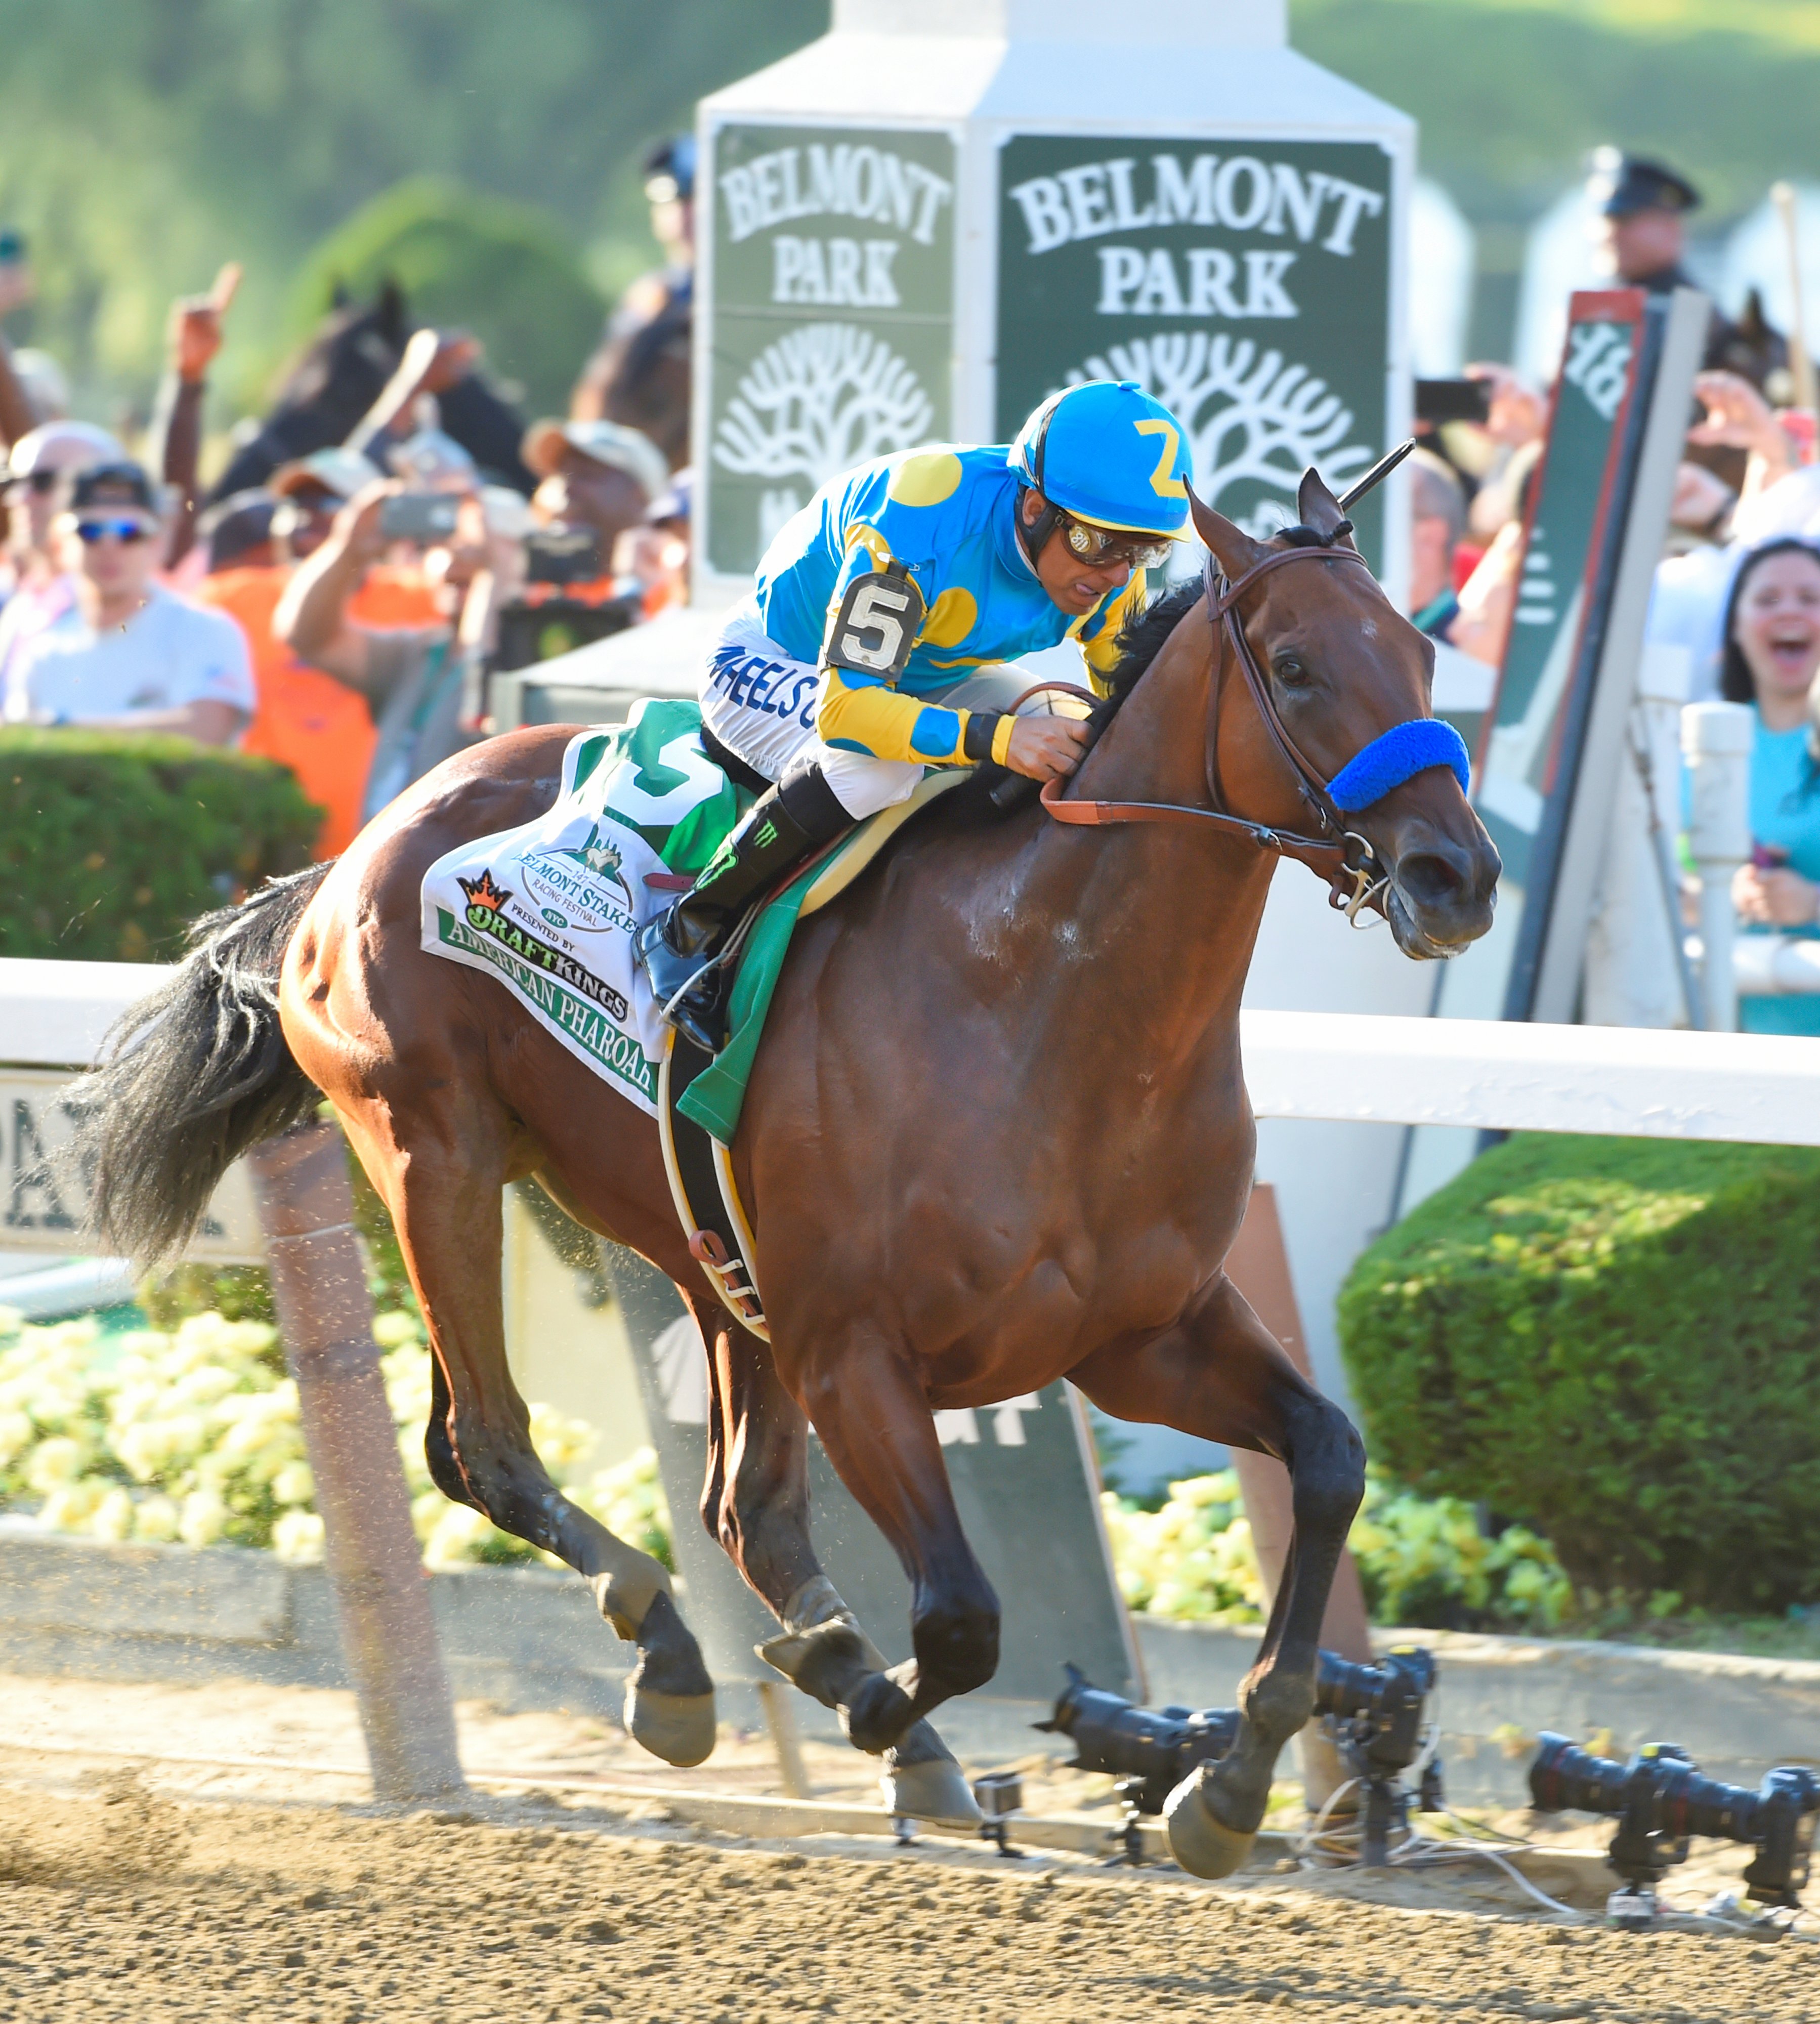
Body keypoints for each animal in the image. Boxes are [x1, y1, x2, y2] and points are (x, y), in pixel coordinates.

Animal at [75, 474, 1498, 1878]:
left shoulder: (1138, 1334)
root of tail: (362, 843)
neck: (1046, 1007)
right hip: (438, 1154)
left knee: (734, 1506)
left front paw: (1230, 1776)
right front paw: (875, 1705)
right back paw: (673, 1654)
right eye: (1294, 664)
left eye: (1423, 654)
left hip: (701, 1251)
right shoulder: (853, 1349)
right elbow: (966, 1617)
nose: (1459, 876)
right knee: (488, 1445)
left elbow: (1327, 1456)